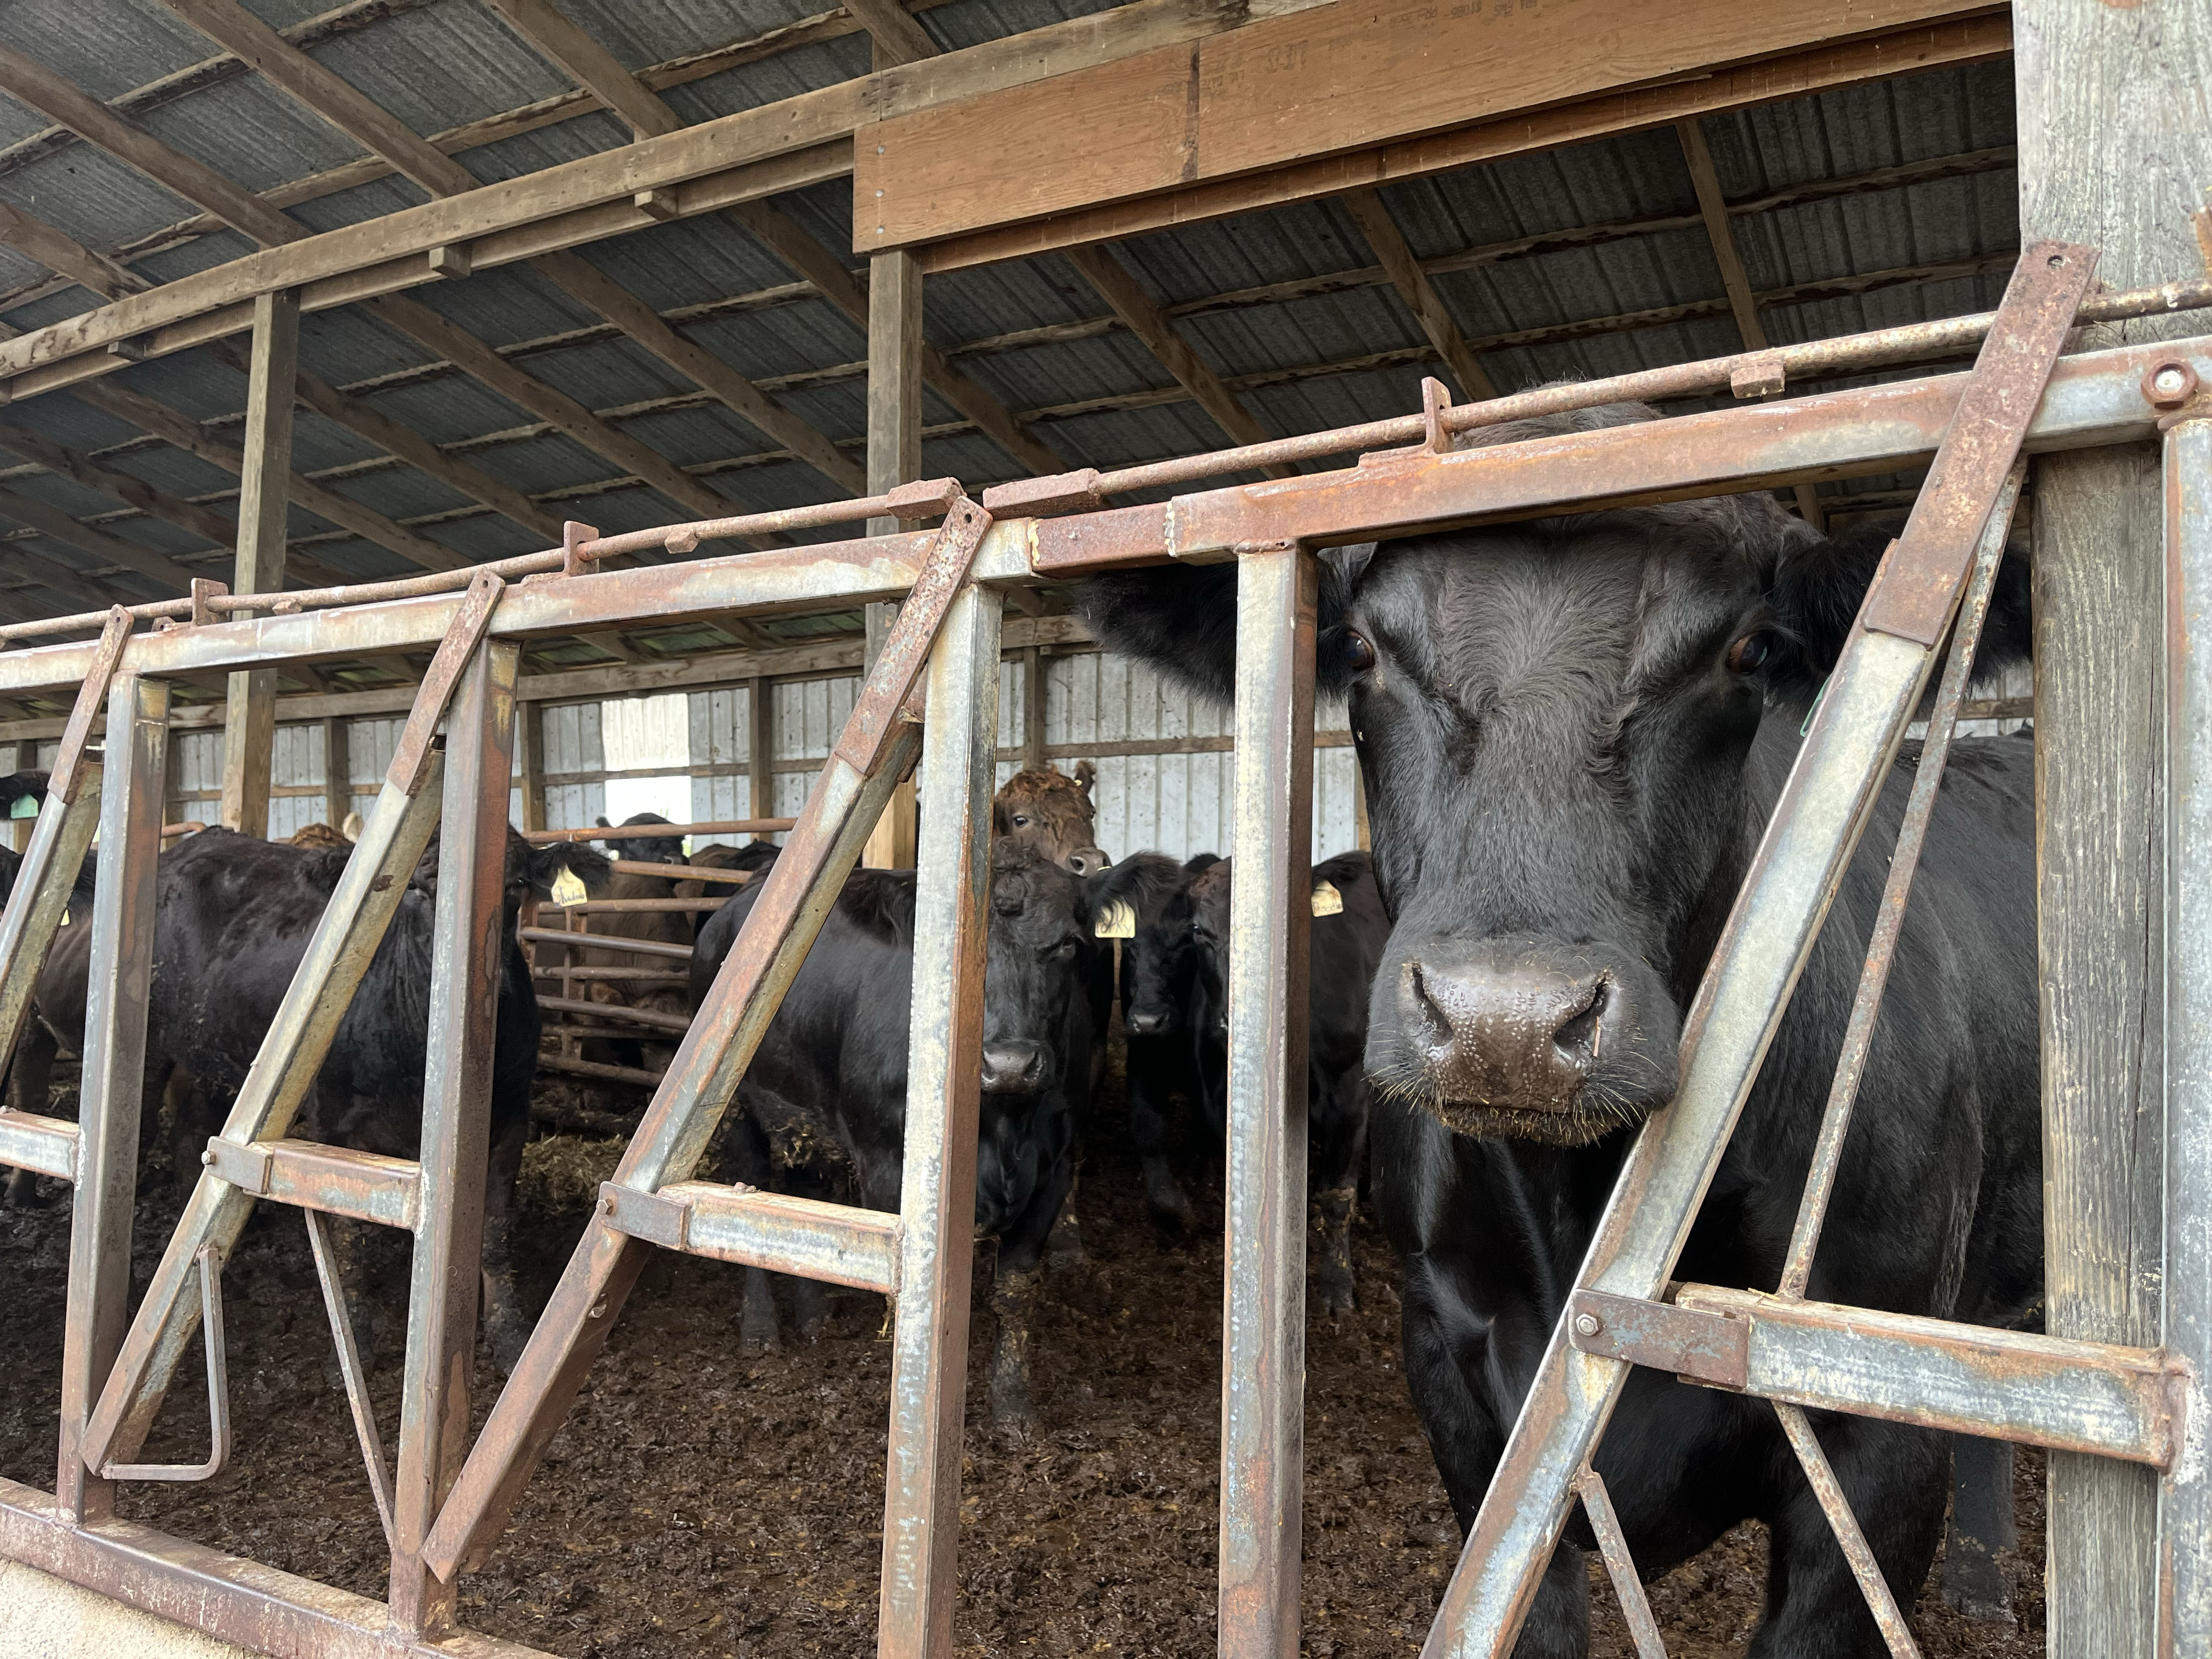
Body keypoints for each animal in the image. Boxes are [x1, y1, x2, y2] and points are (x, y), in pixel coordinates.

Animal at [21, 822, 610, 1380]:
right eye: (419, 888)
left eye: (513, 886)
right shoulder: (335, 1123)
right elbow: (350, 1237)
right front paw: (357, 1344)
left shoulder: (510, 1119)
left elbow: (494, 1236)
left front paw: (511, 1338)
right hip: (146, 1051)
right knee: (138, 1144)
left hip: (212, 1058)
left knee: (192, 1137)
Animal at [695, 845, 1101, 1433]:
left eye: (1067, 943)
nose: (1010, 1063)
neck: (1005, 1125)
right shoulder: (888, 1164)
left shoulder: (1056, 1169)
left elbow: (1015, 1292)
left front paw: (1013, 1405)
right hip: (738, 1107)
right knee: (745, 1195)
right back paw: (761, 1329)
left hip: (807, 1112)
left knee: (805, 1191)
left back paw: (815, 1317)